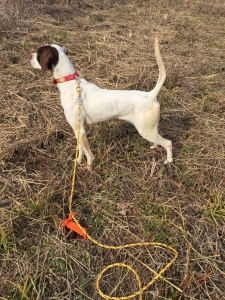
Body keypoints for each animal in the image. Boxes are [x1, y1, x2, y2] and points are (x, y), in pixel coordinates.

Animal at [29, 38, 173, 169]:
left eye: (38, 53)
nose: (29, 56)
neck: (70, 84)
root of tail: (150, 95)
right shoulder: (77, 129)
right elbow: (80, 150)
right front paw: (78, 162)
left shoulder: (81, 131)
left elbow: (88, 154)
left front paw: (88, 168)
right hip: (150, 130)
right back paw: (155, 147)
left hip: (146, 131)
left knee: (168, 143)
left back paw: (168, 160)